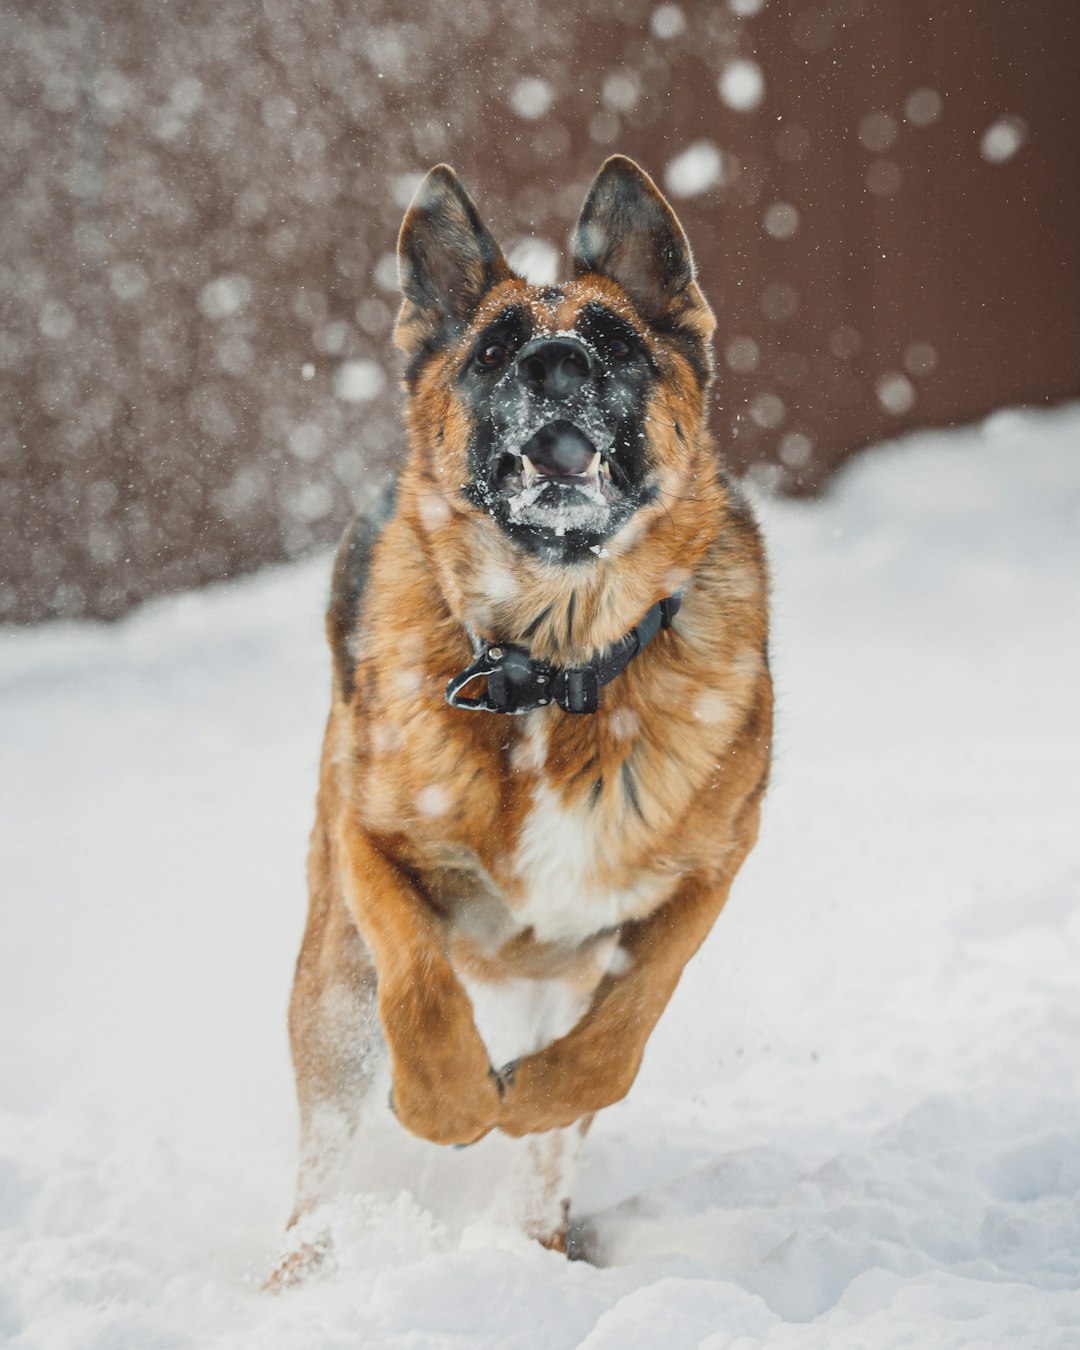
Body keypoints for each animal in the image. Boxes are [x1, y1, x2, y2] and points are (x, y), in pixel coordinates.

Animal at [274, 155, 772, 1274]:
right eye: (496, 348)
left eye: (616, 342)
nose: (552, 365)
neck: (553, 665)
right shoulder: (371, 843)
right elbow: (420, 986)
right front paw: (449, 1104)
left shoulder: (705, 878)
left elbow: (618, 1037)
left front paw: (534, 1097)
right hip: (330, 982)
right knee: (320, 1158)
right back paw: (300, 1275)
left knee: (556, 1137)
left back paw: (536, 1241)